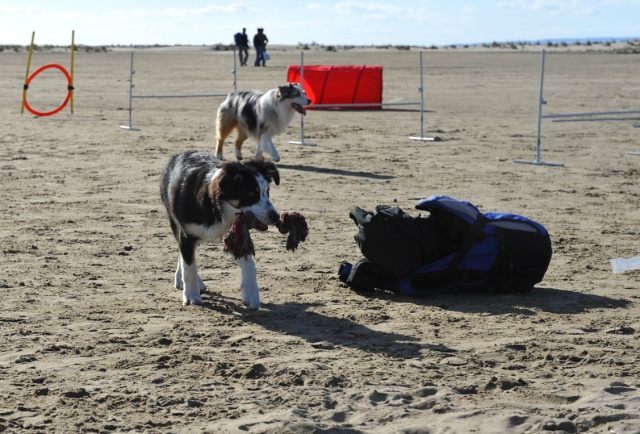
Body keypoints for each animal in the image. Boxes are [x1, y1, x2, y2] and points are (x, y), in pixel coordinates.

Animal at [160, 151, 280, 310]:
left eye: (267, 191)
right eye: (251, 194)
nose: (276, 217)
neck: (214, 206)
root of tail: (181, 153)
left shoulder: (235, 235)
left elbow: (250, 264)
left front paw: (251, 294)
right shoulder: (186, 232)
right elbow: (189, 266)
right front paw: (191, 296)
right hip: (174, 219)